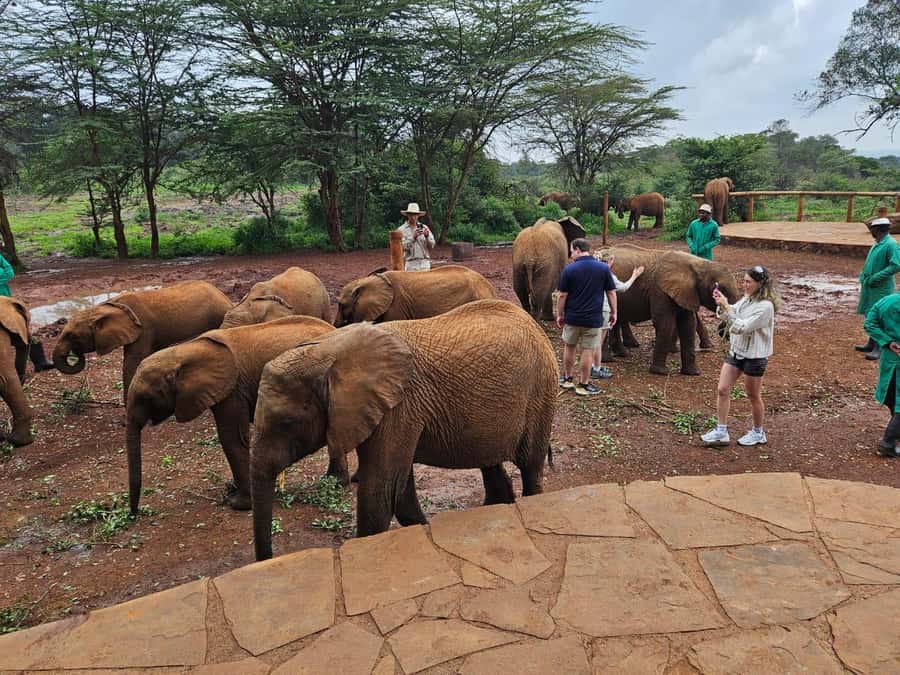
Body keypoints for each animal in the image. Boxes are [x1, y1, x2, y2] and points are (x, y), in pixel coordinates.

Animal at [125, 315, 338, 516]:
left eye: (145, 398)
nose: (135, 513)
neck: (183, 351)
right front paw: (231, 490)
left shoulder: (232, 389)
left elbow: (232, 439)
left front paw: (239, 504)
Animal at [250, 299, 557, 560]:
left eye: (287, 424)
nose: (269, 558)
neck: (328, 350)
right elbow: (399, 489)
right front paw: (423, 529)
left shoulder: (398, 407)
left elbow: (382, 490)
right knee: (489, 461)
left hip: (541, 391)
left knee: (530, 467)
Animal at [600, 245, 739, 375]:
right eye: (720, 290)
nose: (722, 331)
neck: (698, 264)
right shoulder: (659, 290)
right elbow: (666, 323)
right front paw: (660, 372)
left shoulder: (686, 292)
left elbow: (688, 325)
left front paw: (693, 373)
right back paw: (608, 360)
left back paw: (622, 354)